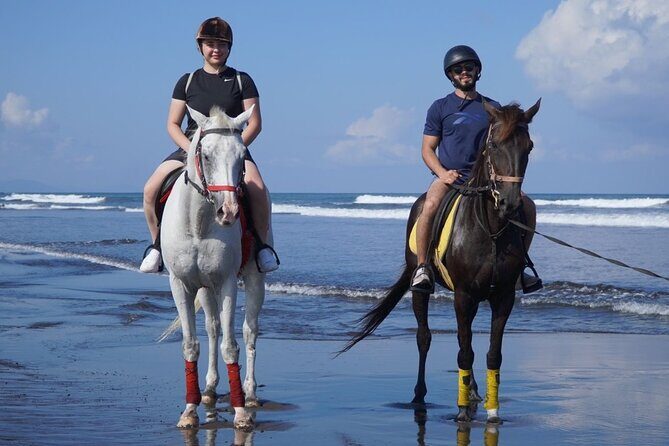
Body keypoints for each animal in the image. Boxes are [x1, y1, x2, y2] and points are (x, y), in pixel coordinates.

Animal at [159, 105, 271, 431]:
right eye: (206, 155)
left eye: (242, 155)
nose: (229, 212)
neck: (198, 224)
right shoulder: (180, 284)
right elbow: (191, 344)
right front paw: (189, 410)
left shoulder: (227, 283)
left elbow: (231, 346)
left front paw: (240, 413)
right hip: (205, 289)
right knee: (212, 329)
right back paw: (208, 389)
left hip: (253, 280)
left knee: (249, 332)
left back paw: (249, 393)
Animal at [342, 99, 541, 423]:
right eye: (494, 145)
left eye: (529, 146)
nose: (509, 203)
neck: (490, 229)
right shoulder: (463, 295)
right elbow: (464, 352)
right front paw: (461, 412)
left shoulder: (503, 296)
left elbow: (491, 354)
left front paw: (493, 411)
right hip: (422, 285)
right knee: (425, 337)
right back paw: (420, 396)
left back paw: (472, 392)